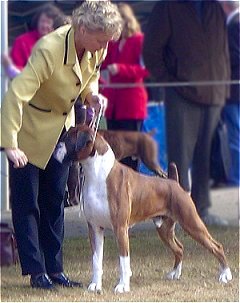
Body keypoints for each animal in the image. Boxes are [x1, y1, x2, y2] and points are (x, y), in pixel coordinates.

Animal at [55, 124, 232, 294]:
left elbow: (123, 261)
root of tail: (174, 182)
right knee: (180, 248)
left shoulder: (120, 228)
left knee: (216, 246)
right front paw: (95, 285)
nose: (56, 147)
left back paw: (225, 274)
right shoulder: (95, 228)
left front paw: (122, 286)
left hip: (192, 224)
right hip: (164, 230)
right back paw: (175, 273)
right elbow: (96, 260)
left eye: (67, 139)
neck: (97, 174)